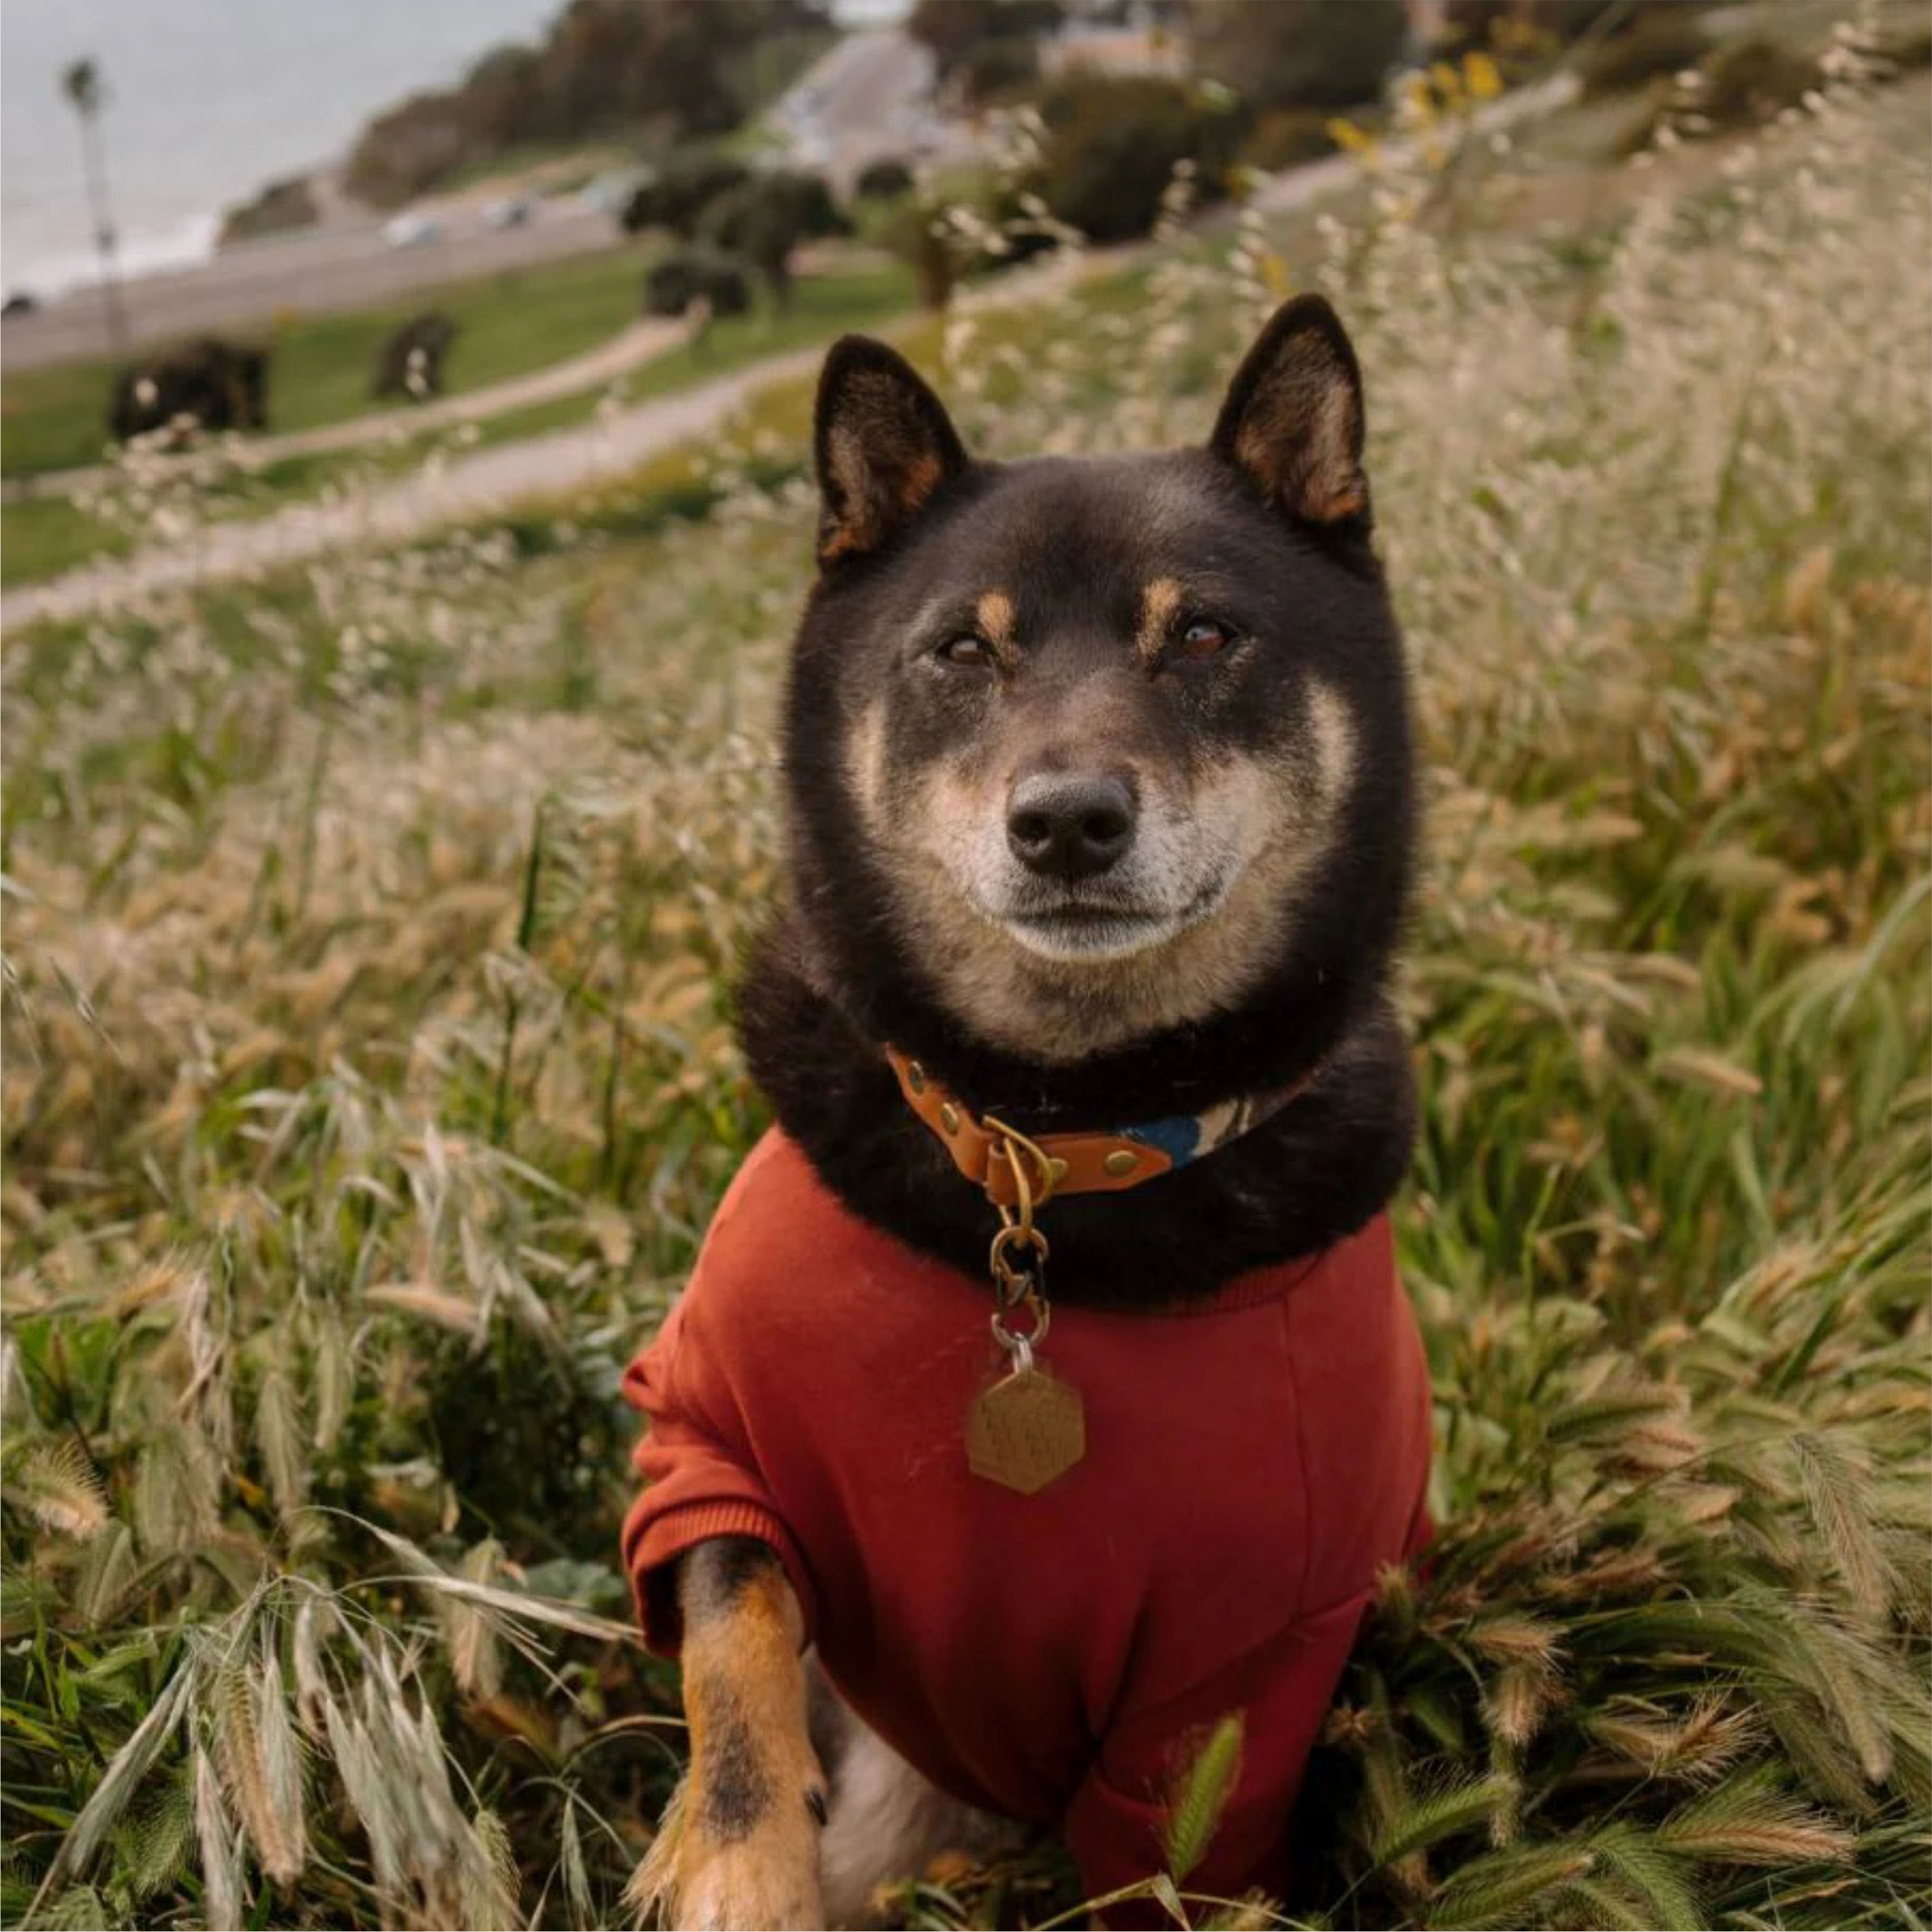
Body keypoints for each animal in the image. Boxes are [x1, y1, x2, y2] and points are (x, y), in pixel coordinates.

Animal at [626, 294, 1429, 1924]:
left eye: (1201, 634)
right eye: (958, 650)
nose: (1064, 821)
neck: (1046, 1151)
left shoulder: (1248, 1654)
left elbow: (1171, 1859)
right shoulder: (701, 1434)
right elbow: (732, 1635)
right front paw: (735, 1861)